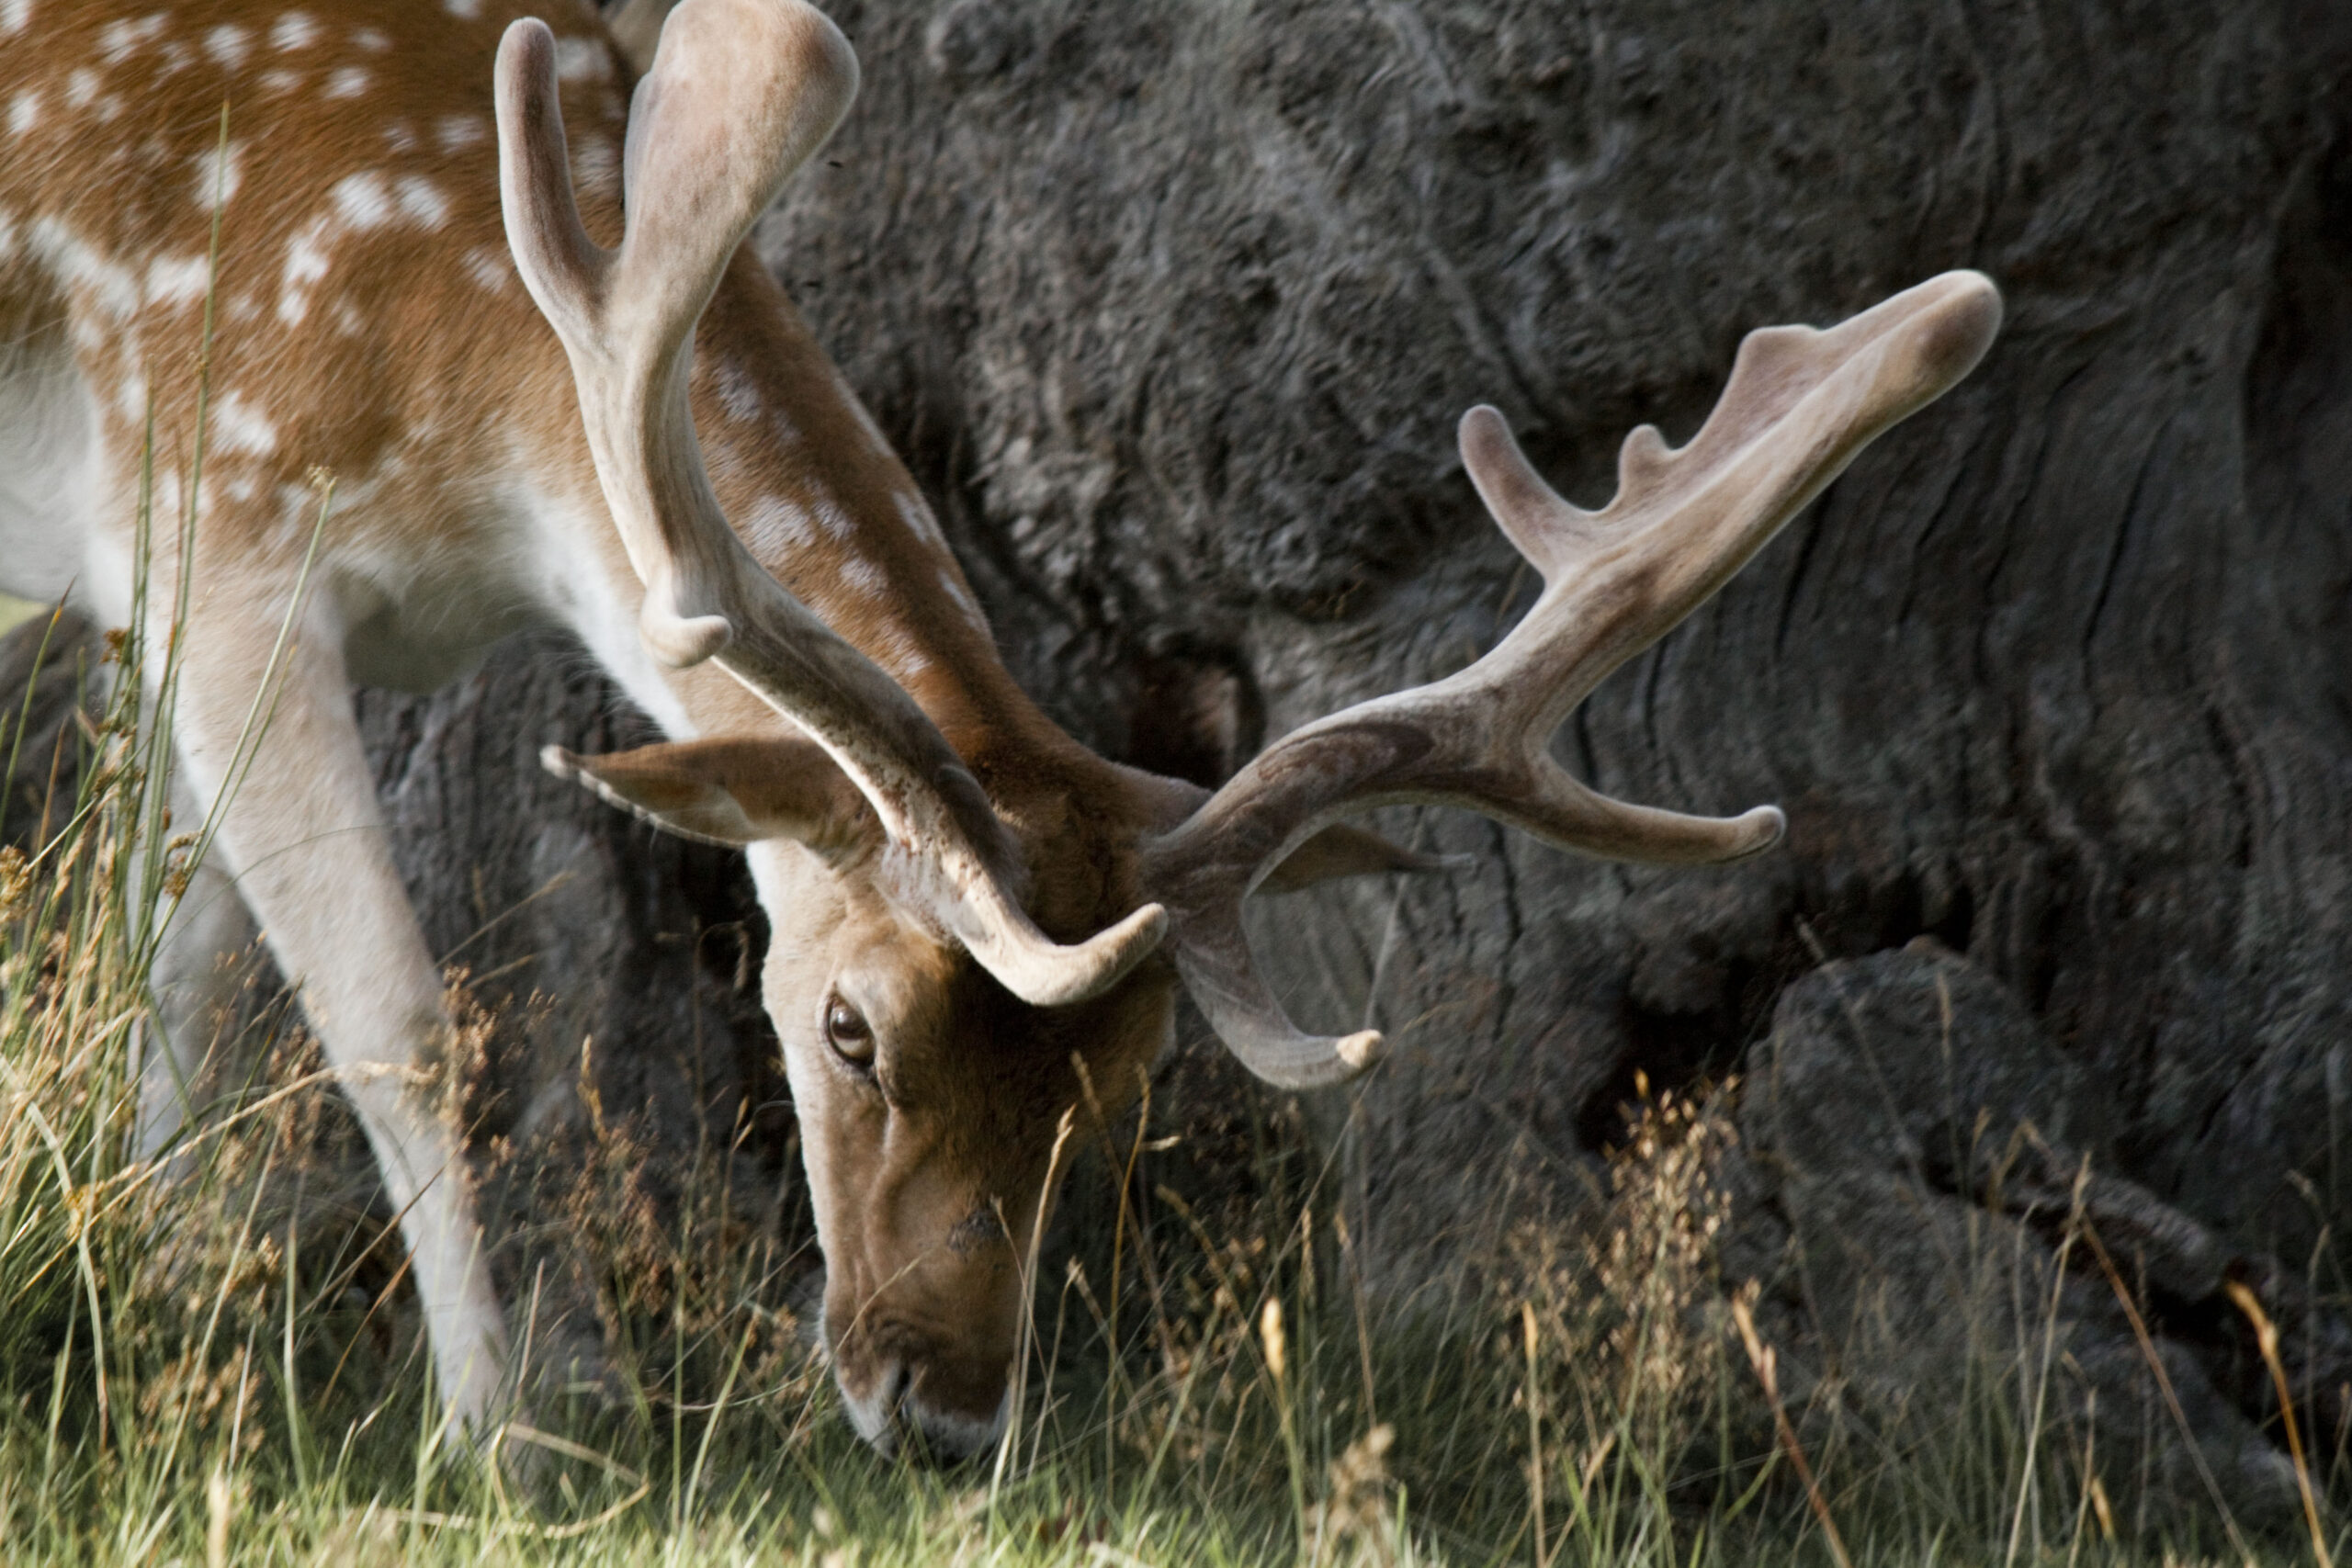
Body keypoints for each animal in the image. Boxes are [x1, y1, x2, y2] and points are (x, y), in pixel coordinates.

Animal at [0, 0, 2004, 1457]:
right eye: (847, 1028)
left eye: (1116, 1085)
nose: (947, 1408)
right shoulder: (218, 503)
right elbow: (392, 1014)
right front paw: (496, 1436)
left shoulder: (259, 605)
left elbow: (182, 965)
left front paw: (161, 1269)